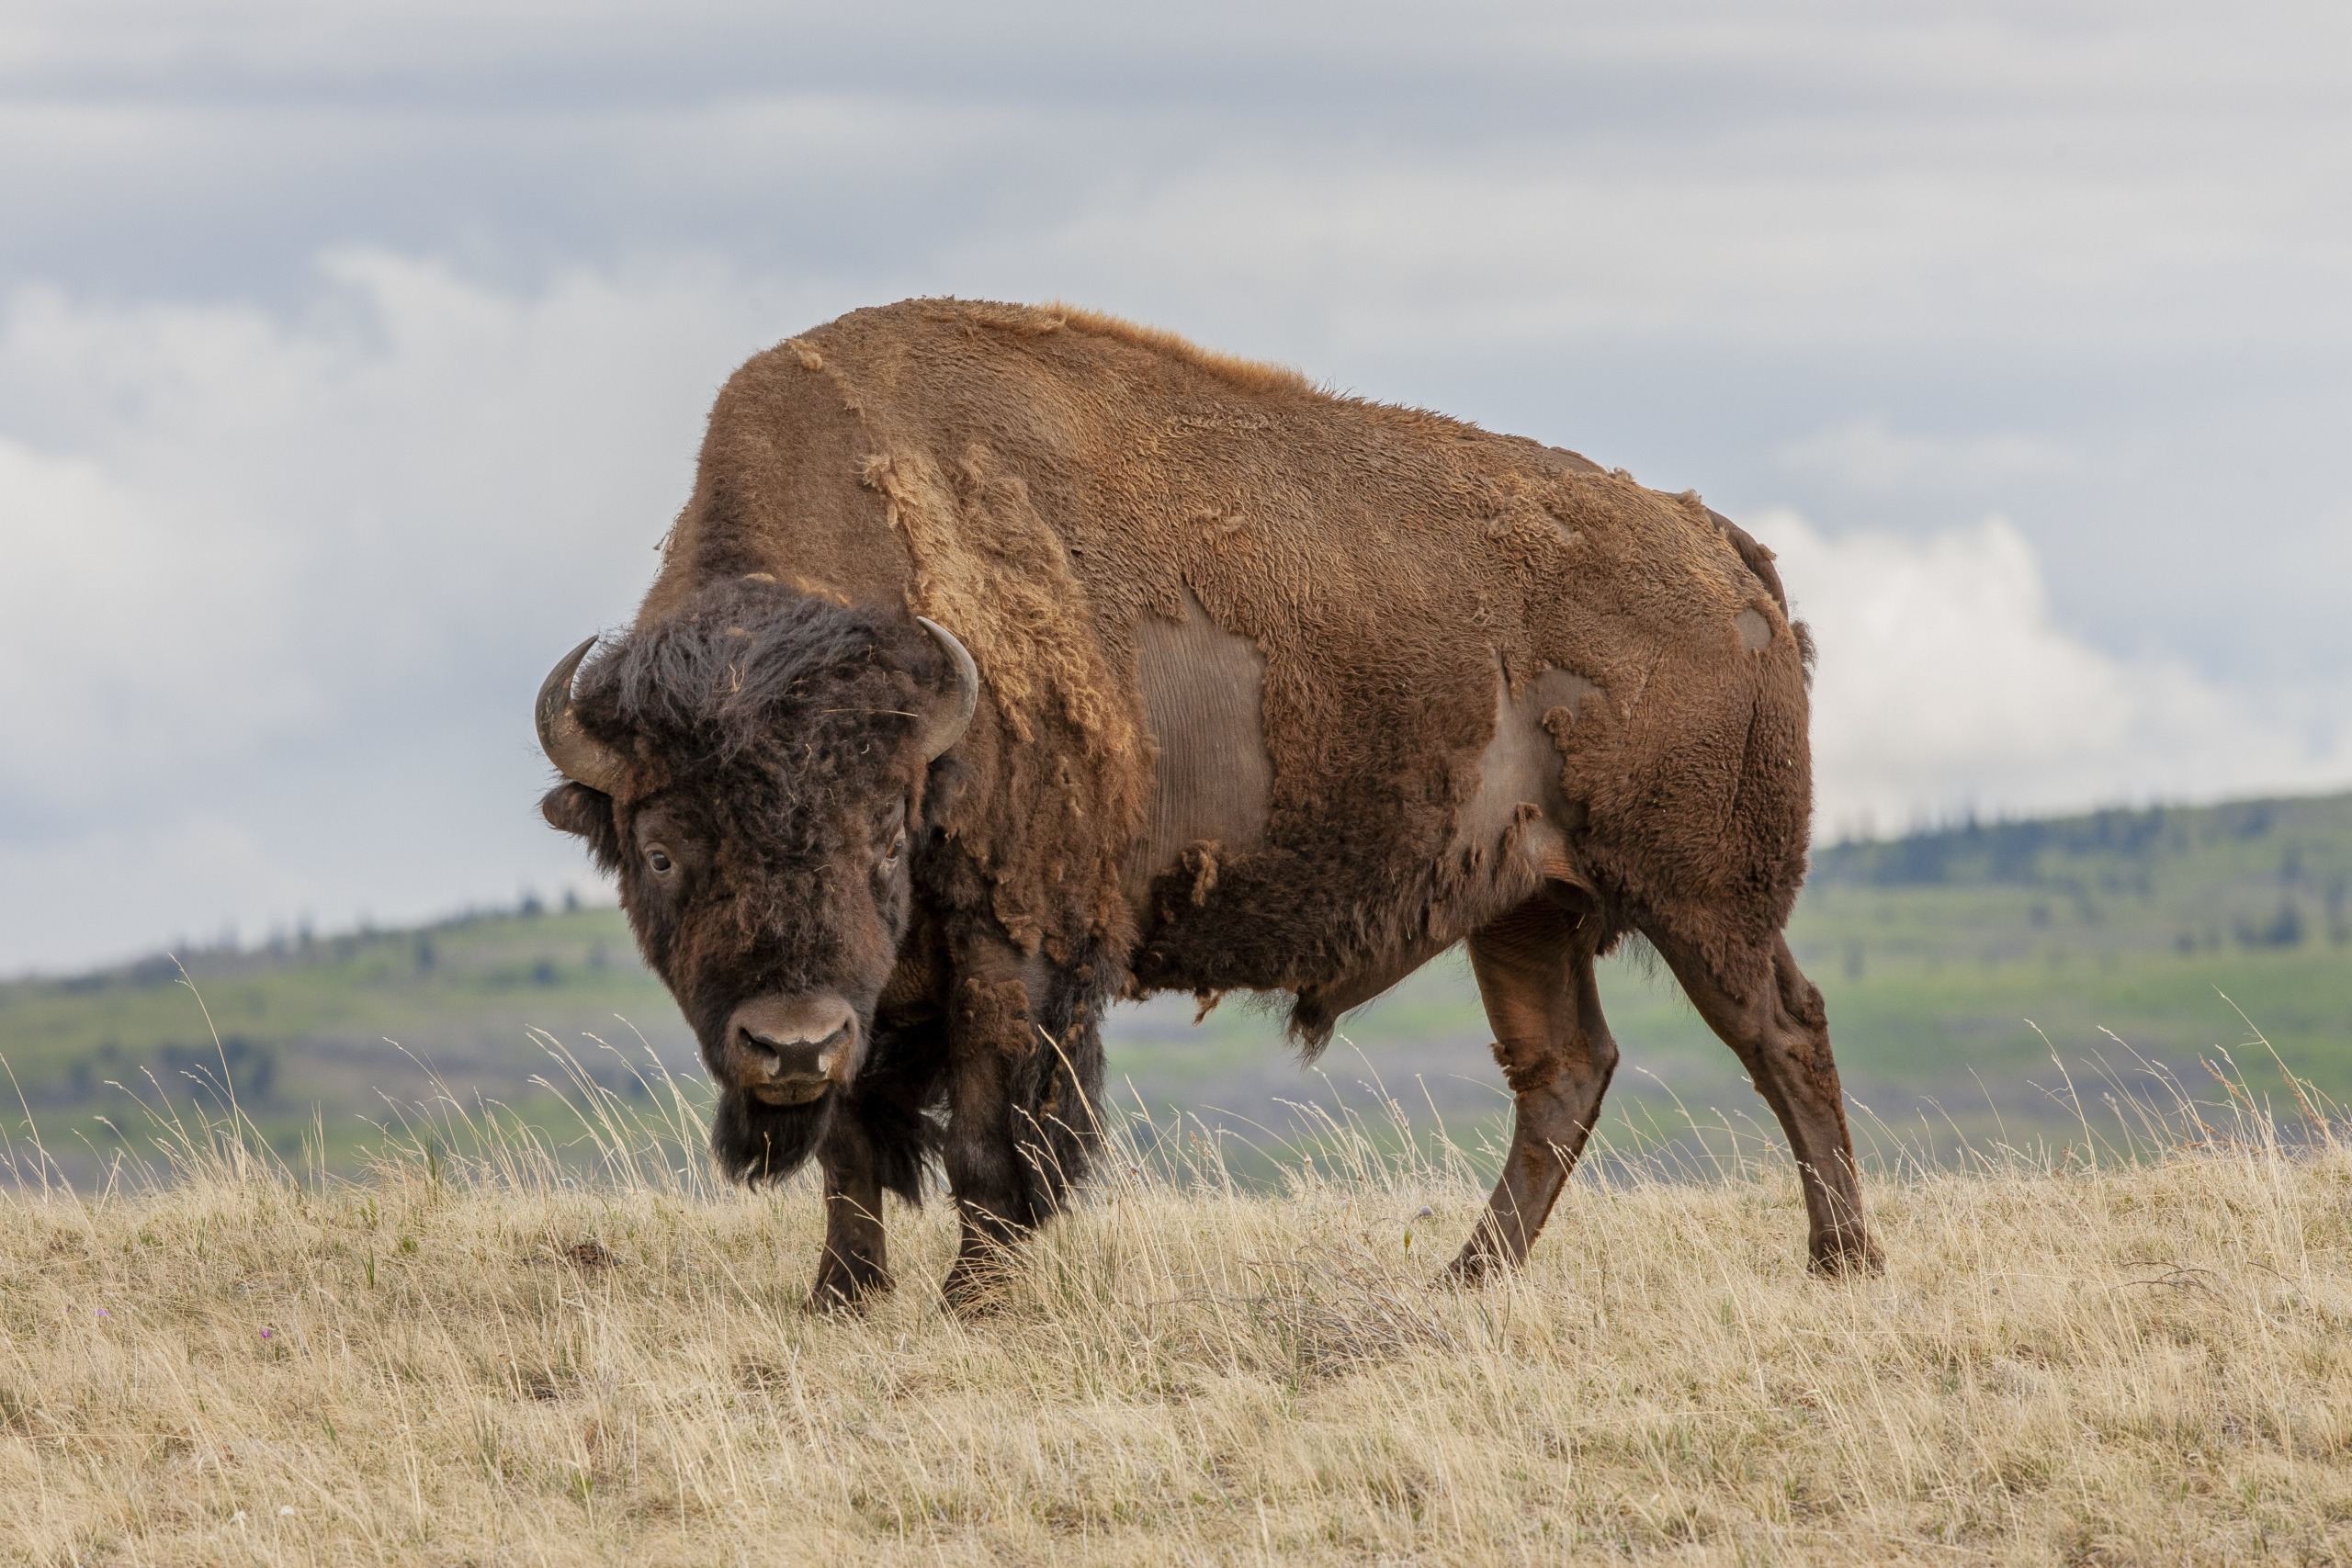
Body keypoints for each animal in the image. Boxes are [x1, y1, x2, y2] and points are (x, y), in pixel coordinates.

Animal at [540, 297, 1882, 1316]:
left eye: (882, 834)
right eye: (659, 851)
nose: (788, 1041)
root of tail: (1717, 547)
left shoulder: (1016, 946)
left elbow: (987, 1139)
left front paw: (973, 1301)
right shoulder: (881, 993)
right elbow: (856, 1145)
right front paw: (841, 1299)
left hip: (1703, 895)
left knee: (1785, 1033)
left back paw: (1841, 1260)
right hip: (1528, 909)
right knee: (1563, 1070)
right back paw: (1464, 1279)